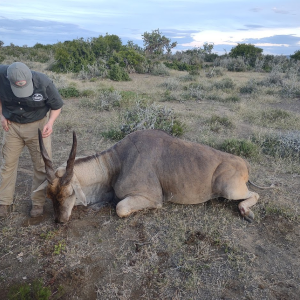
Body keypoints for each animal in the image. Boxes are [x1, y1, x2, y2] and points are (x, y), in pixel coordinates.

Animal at [36, 128, 264, 223]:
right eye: (49, 196)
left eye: (69, 194)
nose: (59, 221)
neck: (117, 162)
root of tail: (244, 164)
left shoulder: (151, 198)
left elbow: (120, 208)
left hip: (230, 190)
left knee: (255, 195)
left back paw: (246, 211)